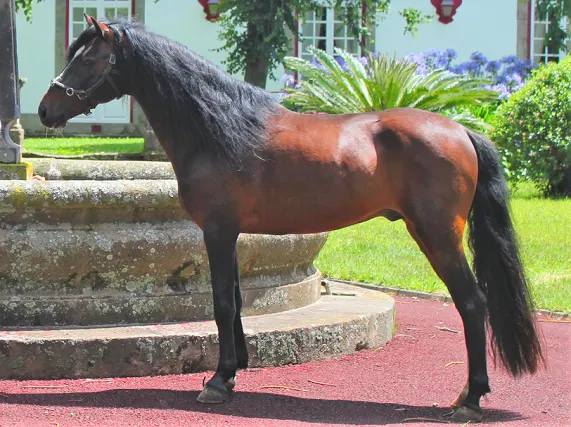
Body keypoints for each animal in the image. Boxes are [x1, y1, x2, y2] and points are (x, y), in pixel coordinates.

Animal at [38, 15, 544, 422]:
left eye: (87, 59)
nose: (45, 110)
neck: (220, 127)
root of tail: (461, 130)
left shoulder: (217, 231)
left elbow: (222, 304)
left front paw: (217, 383)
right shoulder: (233, 234)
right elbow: (236, 300)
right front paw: (234, 370)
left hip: (438, 237)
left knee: (473, 304)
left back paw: (470, 400)